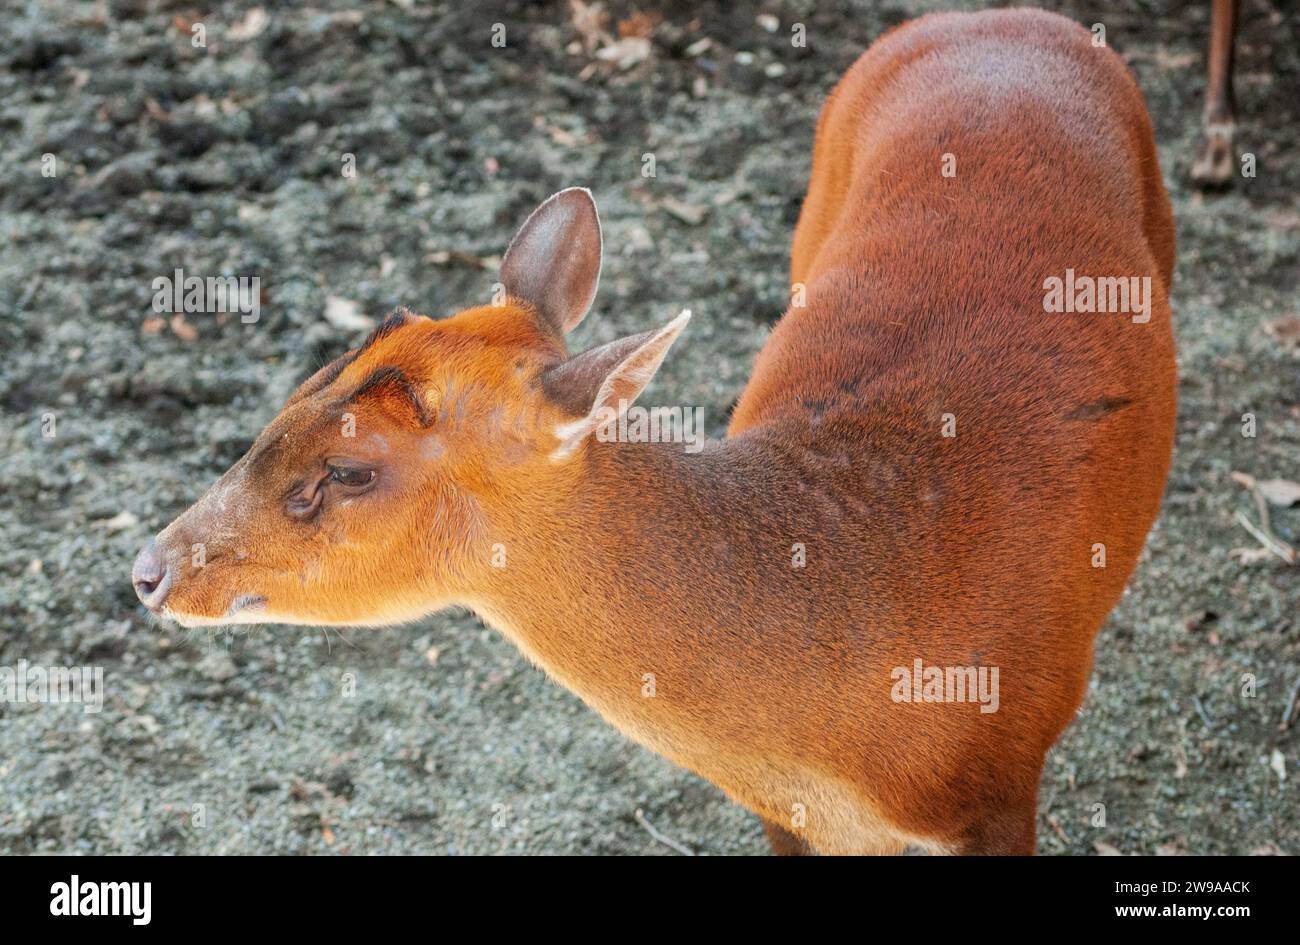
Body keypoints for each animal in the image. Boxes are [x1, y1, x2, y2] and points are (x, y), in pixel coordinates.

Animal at [134, 7, 1180, 852]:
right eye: (295, 392)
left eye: (350, 469)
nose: (150, 569)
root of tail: (1000, 15)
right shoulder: (791, 815)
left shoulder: (1001, 782)